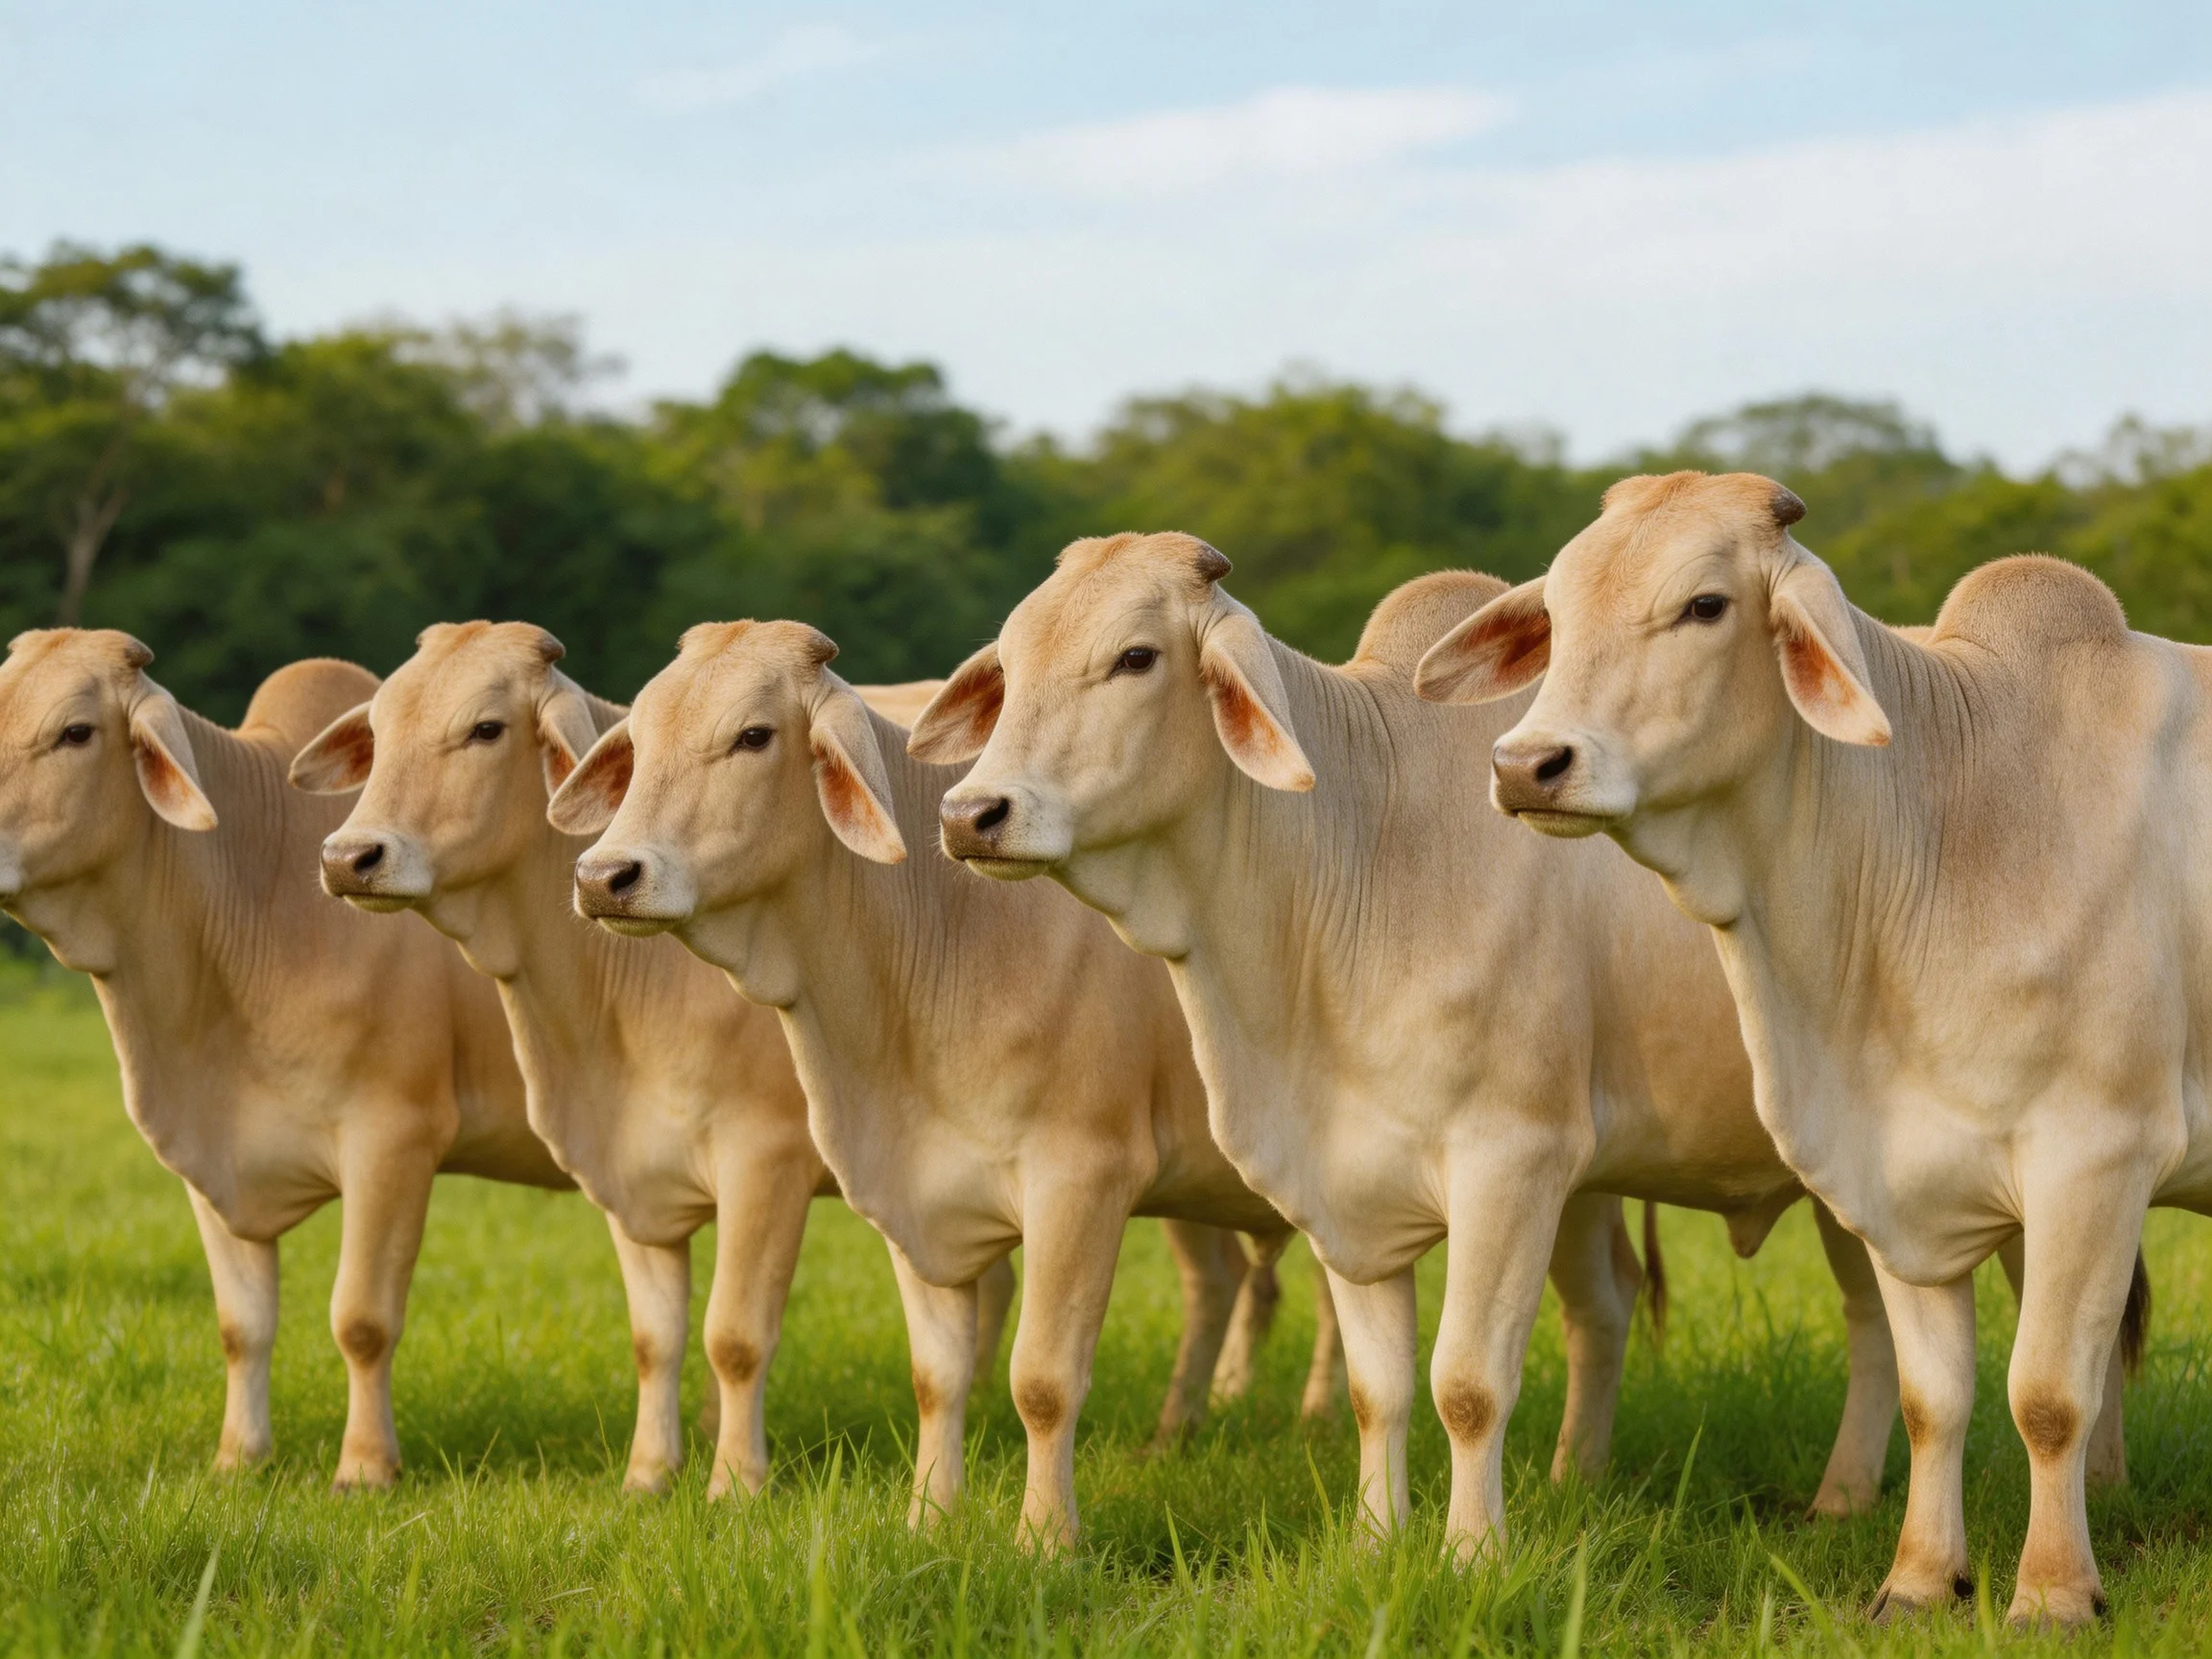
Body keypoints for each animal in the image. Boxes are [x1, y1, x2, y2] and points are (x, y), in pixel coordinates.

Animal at [0, 629, 565, 1489]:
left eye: (75, 732)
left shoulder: (394, 1136)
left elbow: (361, 1318)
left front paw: (365, 1468)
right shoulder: (207, 1155)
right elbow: (243, 1324)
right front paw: (238, 1458)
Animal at [544, 619, 1340, 1549]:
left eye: (754, 736)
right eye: (637, 743)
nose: (605, 876)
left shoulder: (1084, 1176)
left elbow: (1043, 1378)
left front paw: (1045, 1540)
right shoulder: (912, 1184)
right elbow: (936, 1375)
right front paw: (930, 1517)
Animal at [909, 533, 1919, 1559]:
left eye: (1136, 658)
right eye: (1010, 665)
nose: (970, 815)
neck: (1360, 857)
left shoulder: (1511, 1160)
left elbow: (1466, 1385)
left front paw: (1471, 1554)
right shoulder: (1349, 1184)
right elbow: (1377, 1389)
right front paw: (1374, 1542)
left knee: (1876, 1318)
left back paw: (1844, 1497)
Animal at [1415, 470, 2176, 1624]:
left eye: (1706, 606)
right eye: (1556, 609)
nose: (1526, 764)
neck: (1948, 826)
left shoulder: (2096, 1157)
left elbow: (2047, 1394)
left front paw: (2051, 1594)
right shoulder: (1899, 1170)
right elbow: (1935, 1393)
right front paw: (1919, 1579)